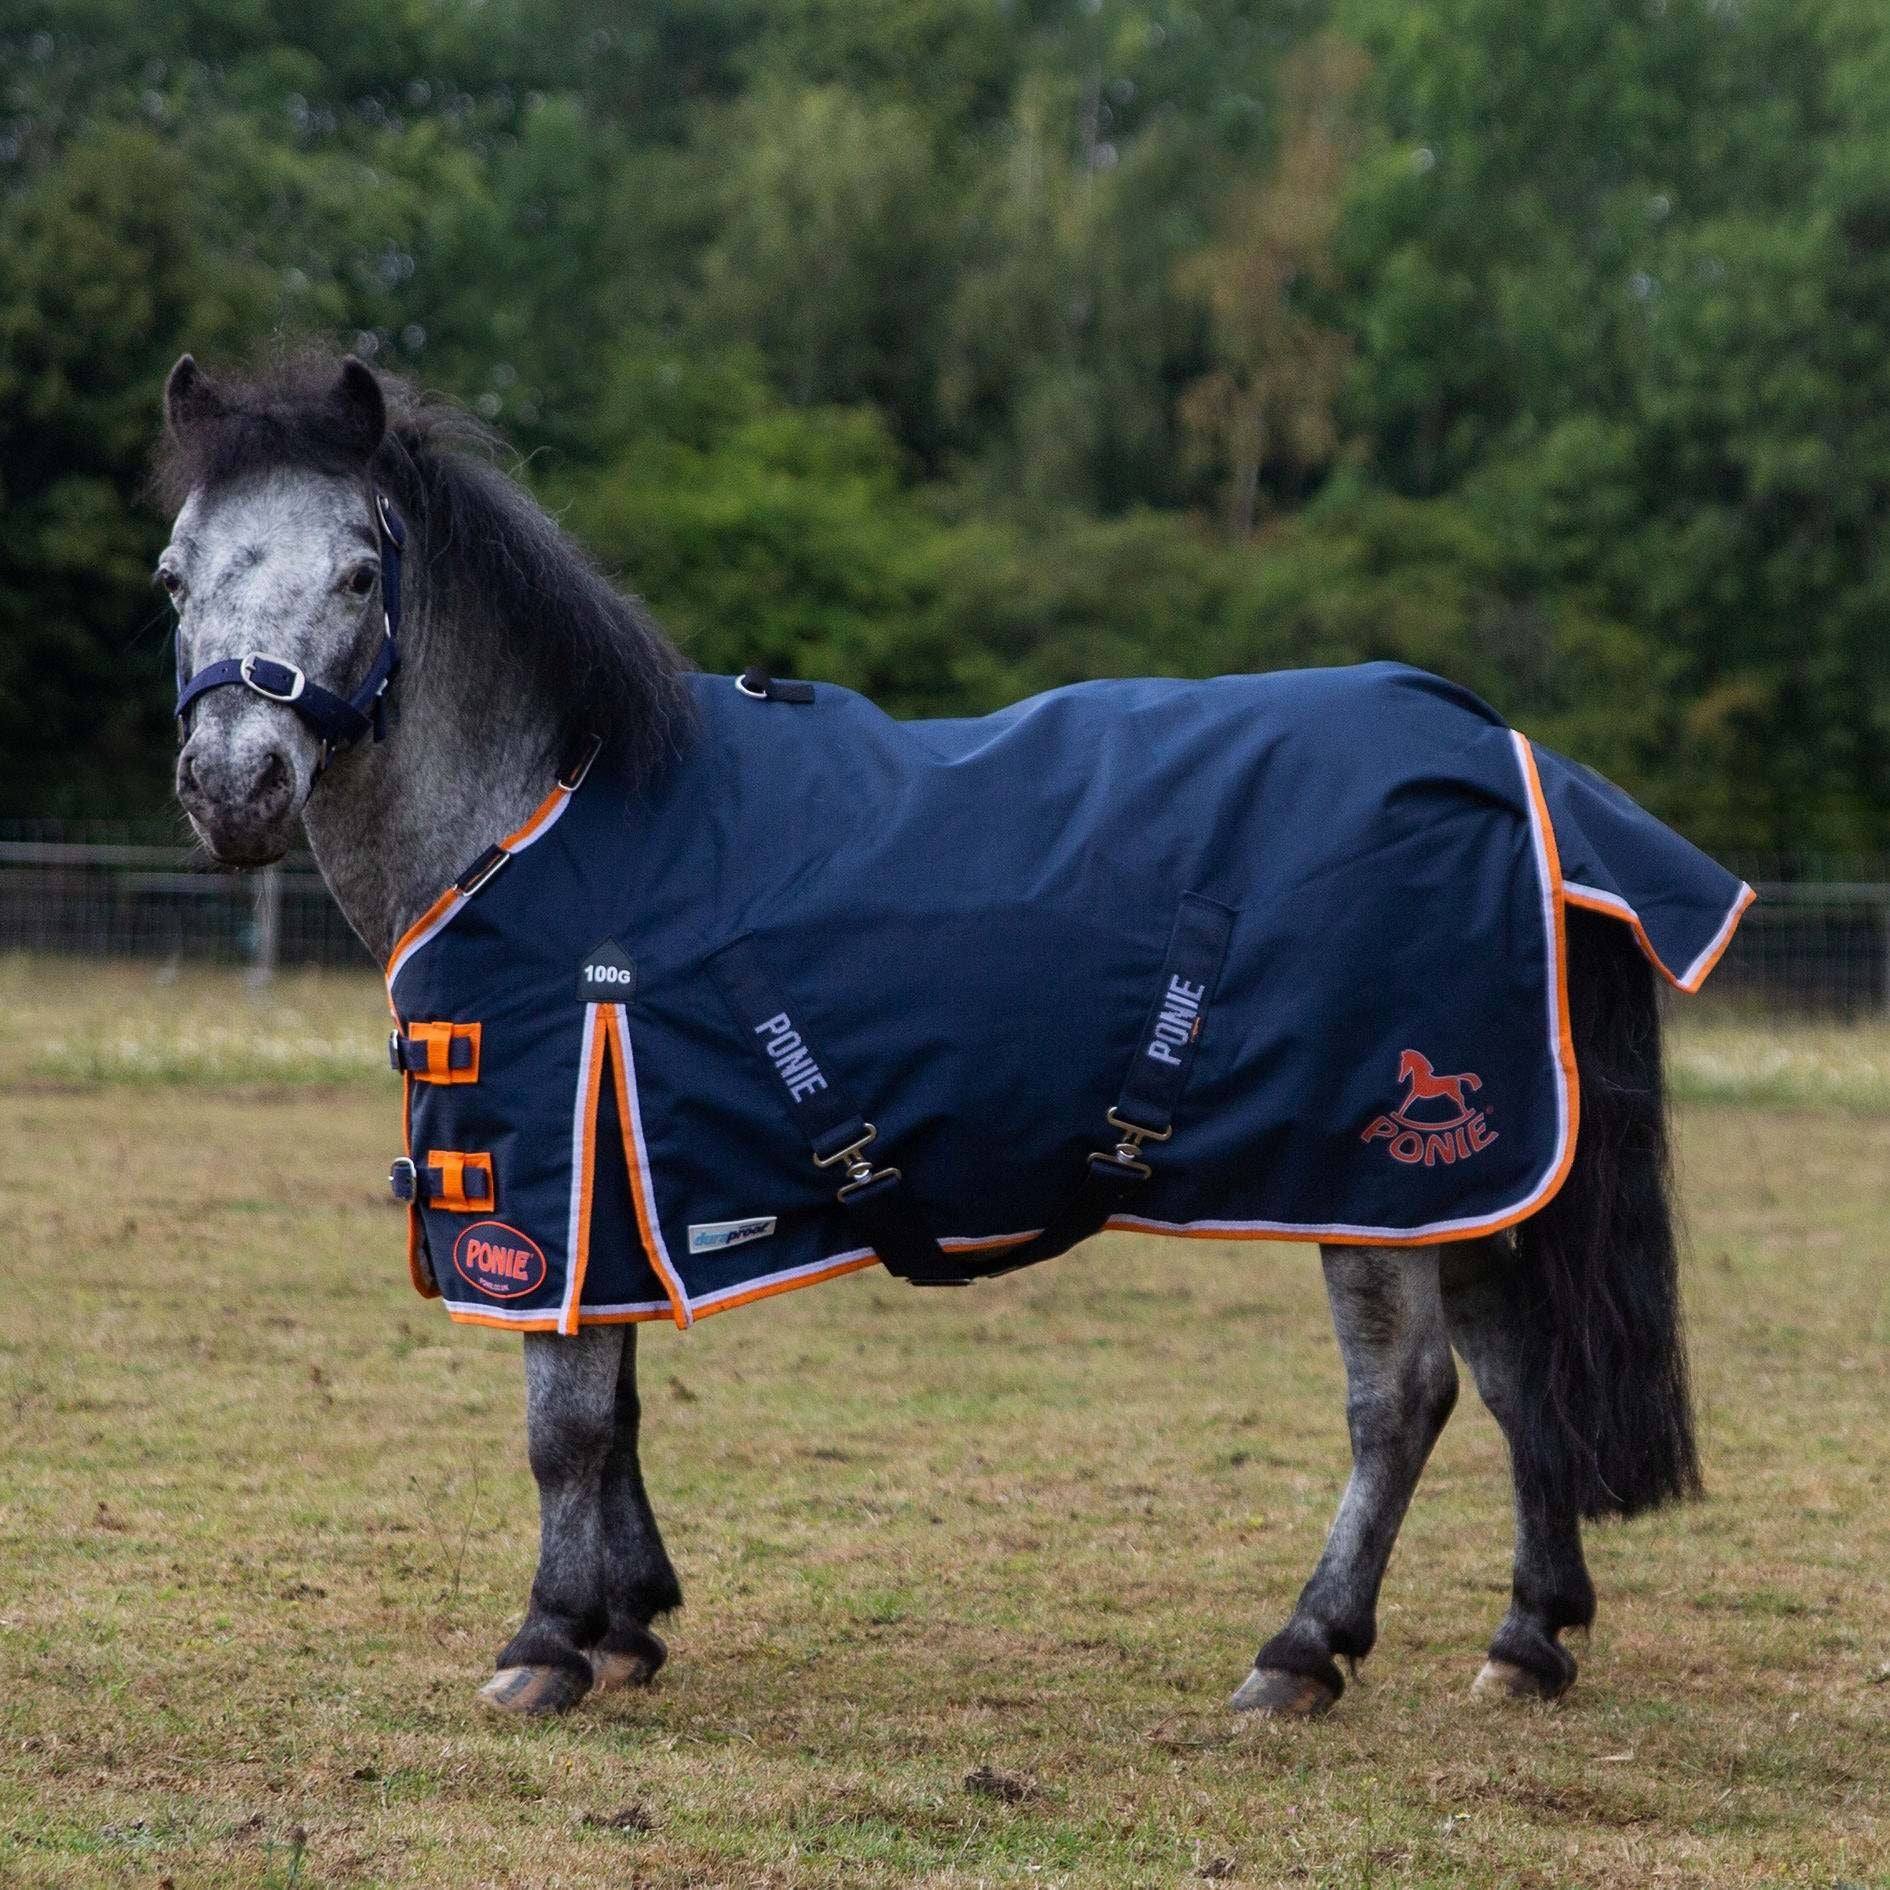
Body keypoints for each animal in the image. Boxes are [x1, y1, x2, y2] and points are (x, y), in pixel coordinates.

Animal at [157, 350, 1703, 1720]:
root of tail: (1507, 755)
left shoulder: (552, 1170)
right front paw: (625, 1624)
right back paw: (1528, 1639)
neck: (544, 813)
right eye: (176, 575)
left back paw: (1300, 1652)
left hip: (1369, 1175)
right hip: (1468, 1179)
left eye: (361, 575)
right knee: (1515, 1375)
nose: (233, 788)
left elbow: (566, 1423)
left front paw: (546, 1644)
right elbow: (623, 1407)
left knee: (1406, 1397)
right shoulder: (620, 1173)